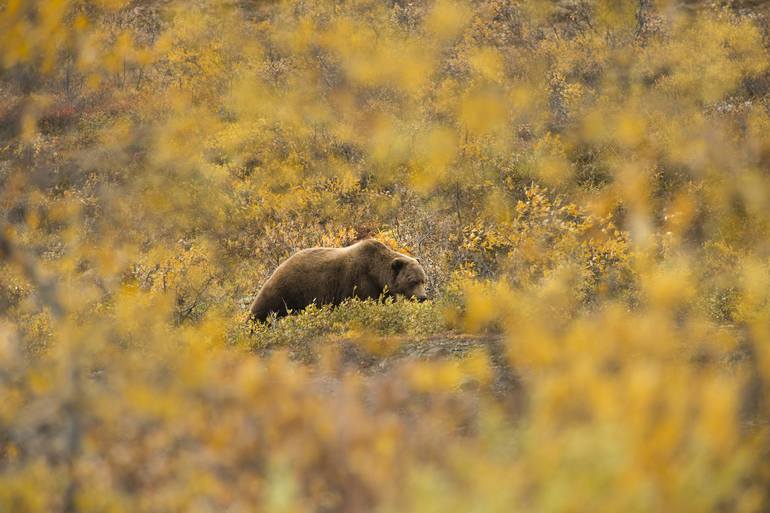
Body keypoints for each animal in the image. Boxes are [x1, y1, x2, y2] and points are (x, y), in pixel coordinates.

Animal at [246, 237, 426, 320]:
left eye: (424, 279)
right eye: (413, 280)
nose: (423, 297)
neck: (378, 274)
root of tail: (279, 266)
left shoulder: (383, 288)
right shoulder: (361, 281)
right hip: (287, 288)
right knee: (262, 310)